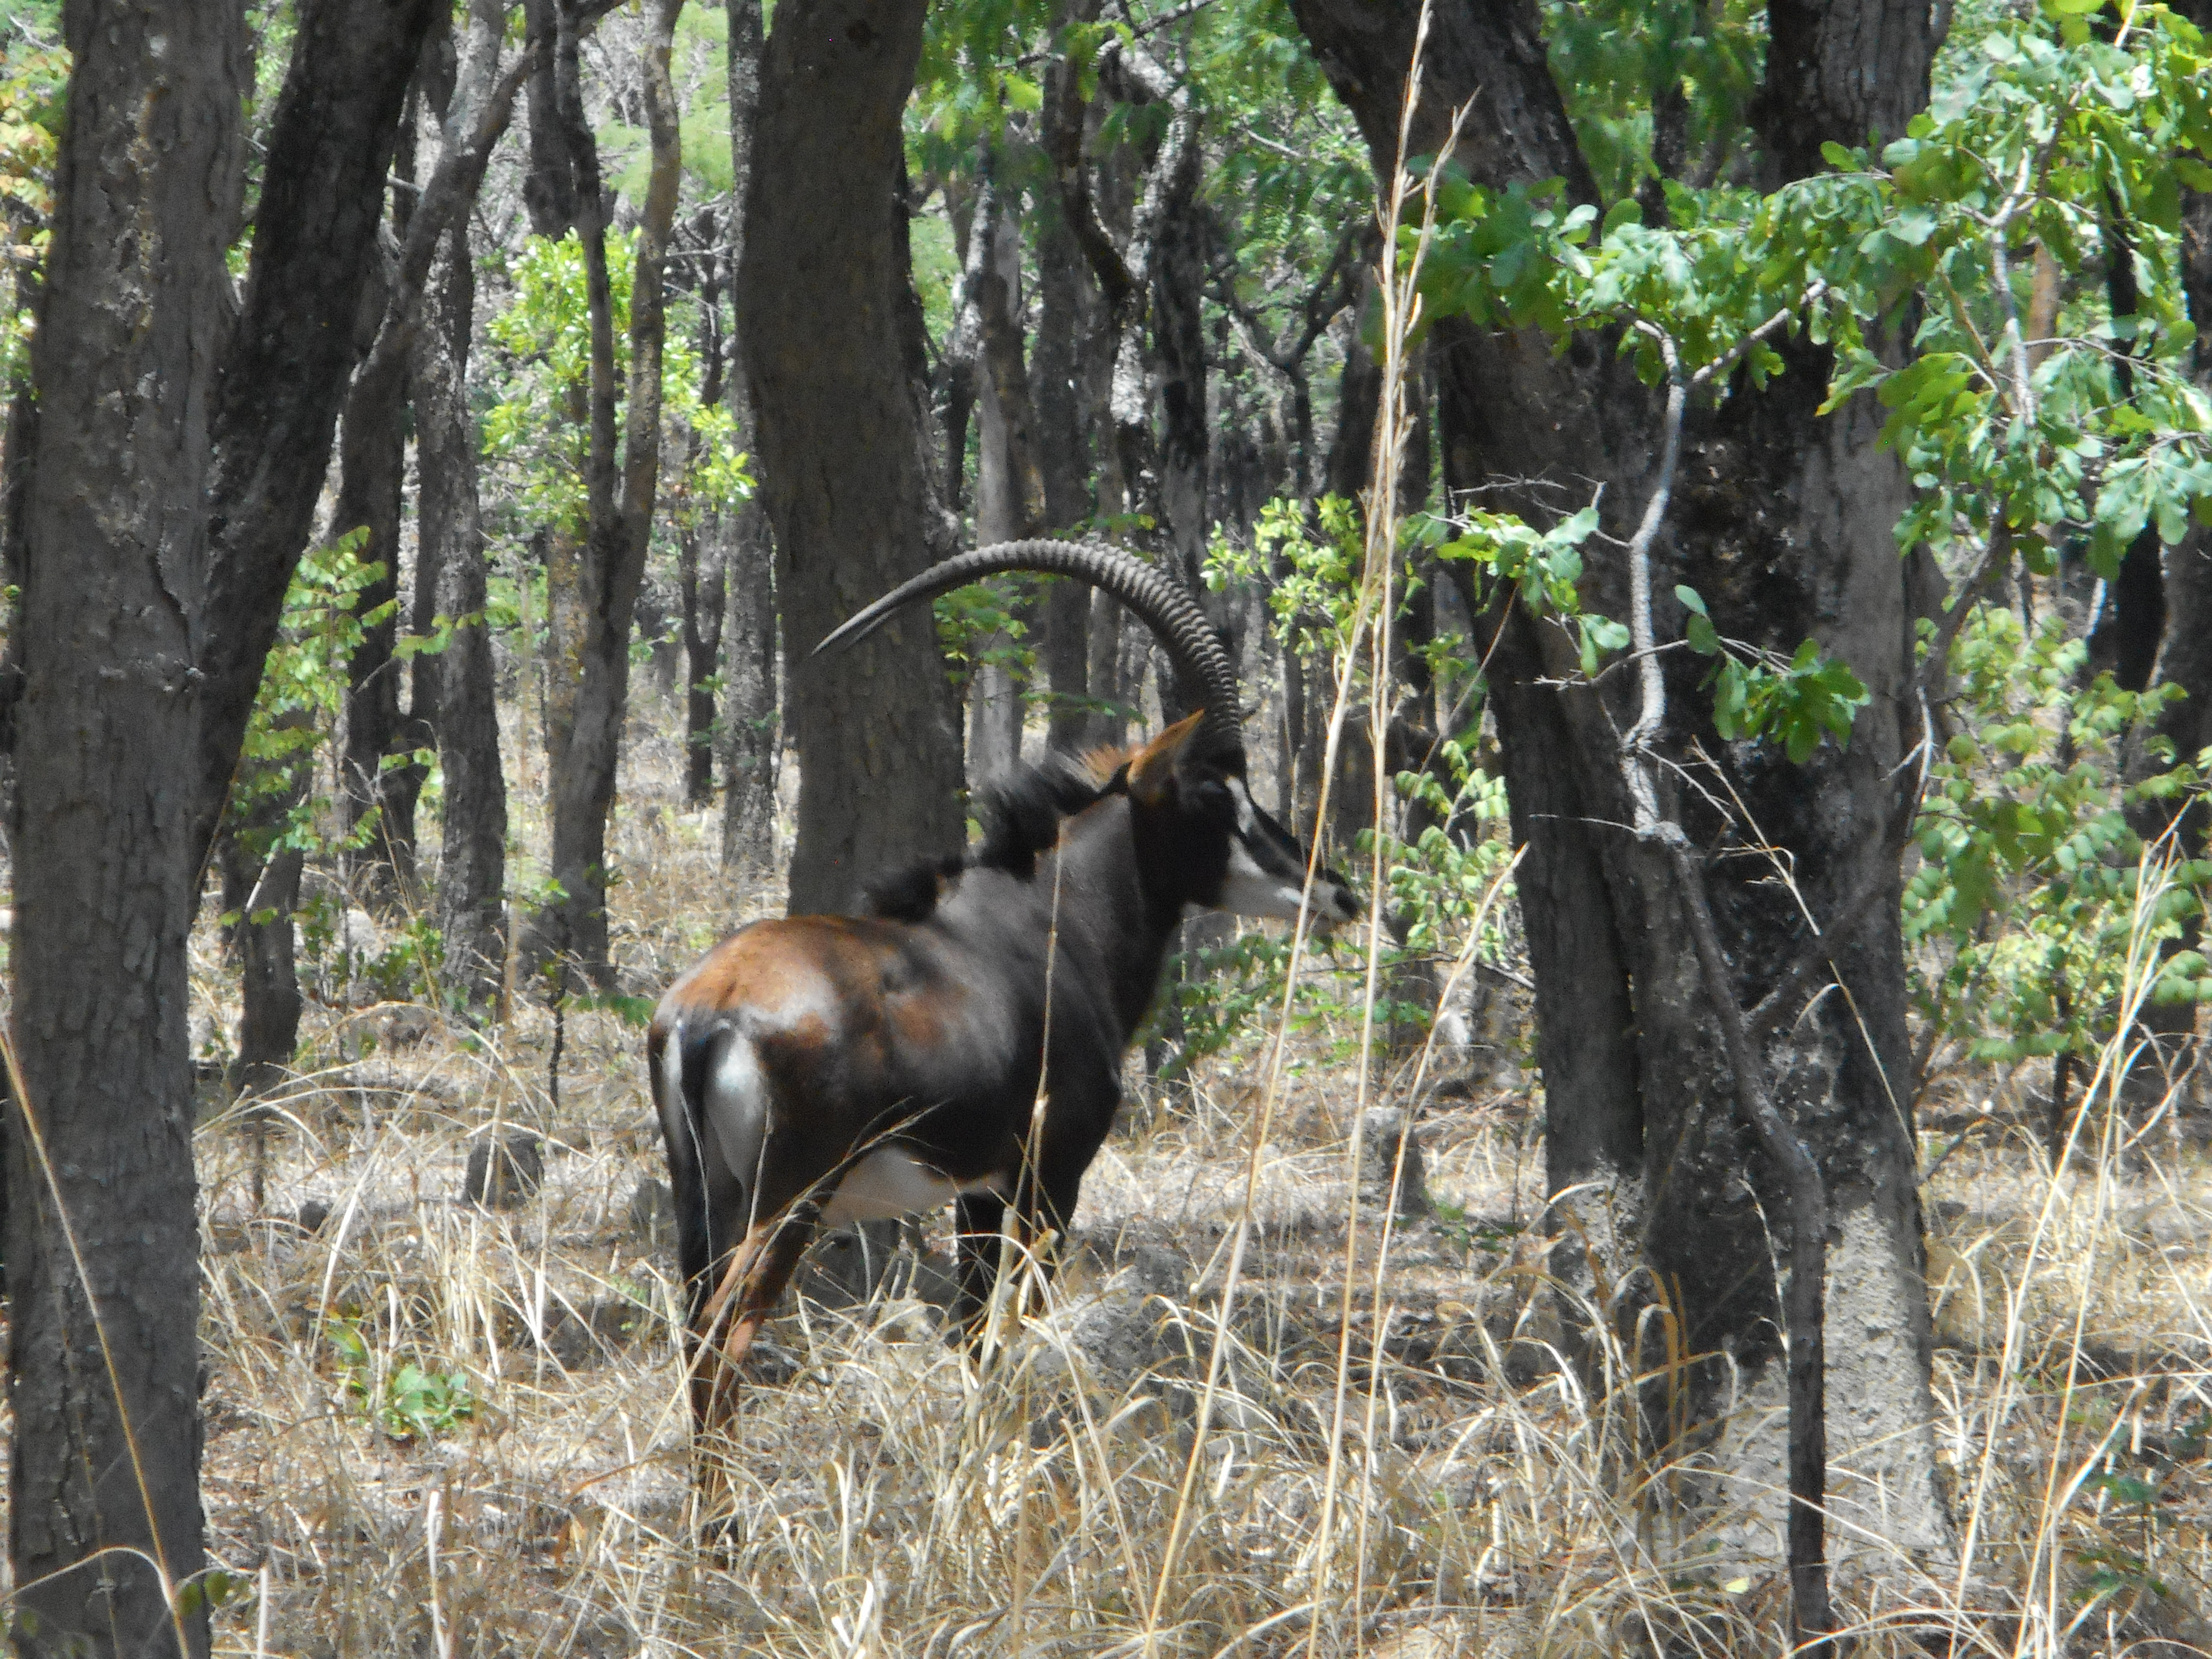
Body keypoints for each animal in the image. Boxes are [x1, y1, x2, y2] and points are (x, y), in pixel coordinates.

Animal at [646, 542, 1354, 1451]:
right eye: (1212, 794)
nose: (1333, 888)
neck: (1051, 920)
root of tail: (712, 1008)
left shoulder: (979, 1188)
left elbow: (976, 1333)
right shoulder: (1051, 1174)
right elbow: (1014, 1329)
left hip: (704, 1194)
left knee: (696, 1329)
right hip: (789, 1200)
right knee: (725, 1337)